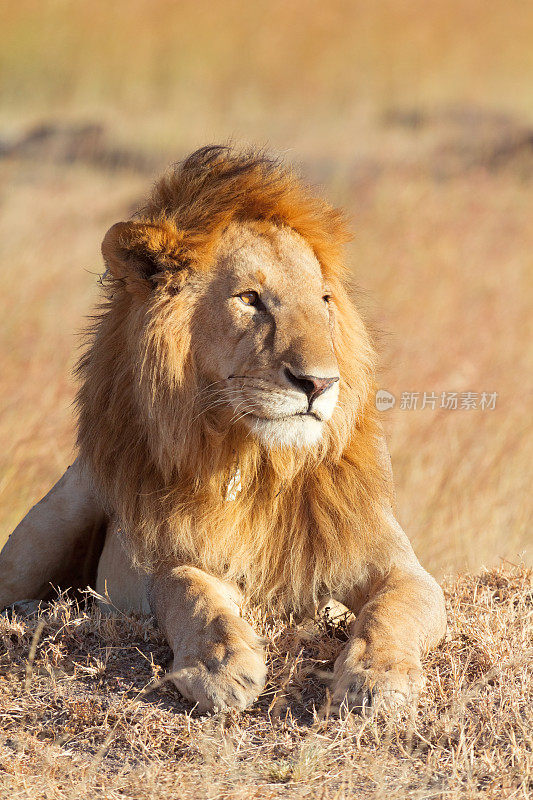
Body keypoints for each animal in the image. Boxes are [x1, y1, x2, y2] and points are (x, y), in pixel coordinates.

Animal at [0, 144, 444, 712]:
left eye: (324, 300)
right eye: (250, 299)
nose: (320, 383)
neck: (260, 465)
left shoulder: (394, 562)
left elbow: (397, 607)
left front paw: (378, 677)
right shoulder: (170, 557)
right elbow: (190, 590)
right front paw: (220, 665)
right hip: (57, 515)